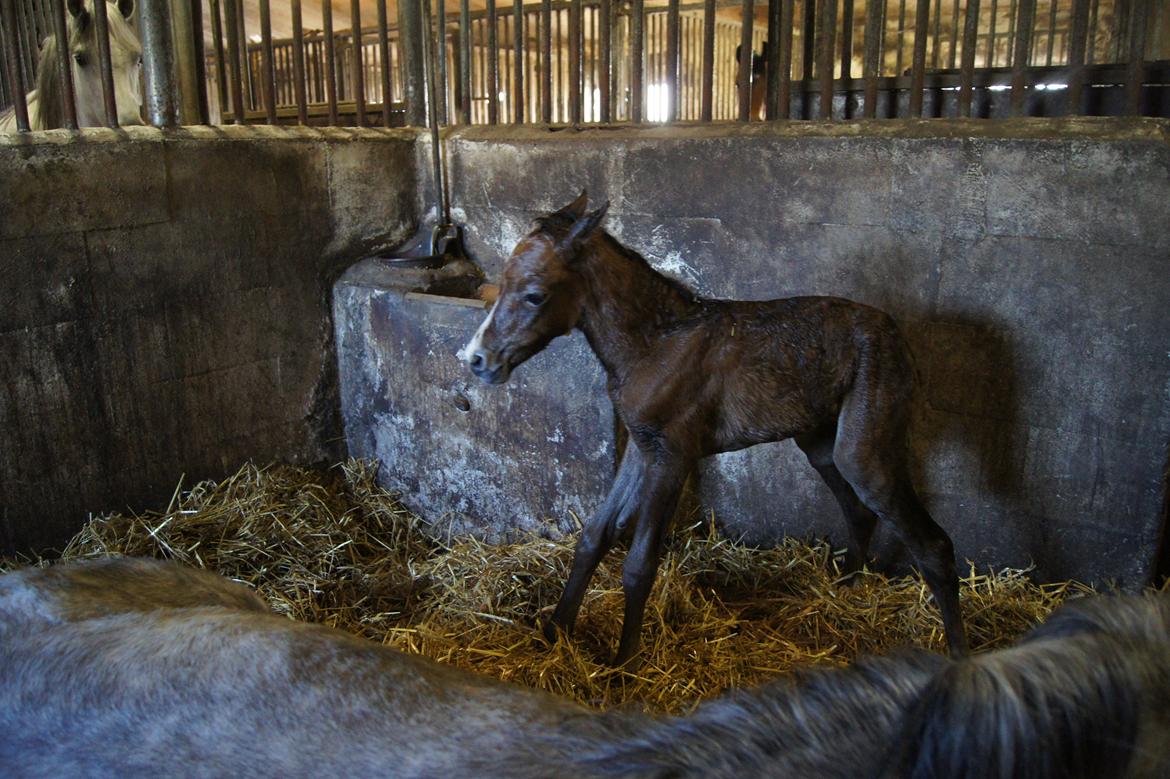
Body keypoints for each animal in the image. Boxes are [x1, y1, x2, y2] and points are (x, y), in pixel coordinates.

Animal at [460, 189, 964, 659]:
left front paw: (624, 664)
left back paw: (957, 653)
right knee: (858, 510)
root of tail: (898, 336)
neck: (652, 344)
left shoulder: (673, 456)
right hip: (821, 443)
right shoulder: (642, 448)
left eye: (534, 294)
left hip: (864, 451)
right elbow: (594, 535)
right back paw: (843, 590)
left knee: (933, 543)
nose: (478, 360)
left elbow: (639, 563)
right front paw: (554, 632)